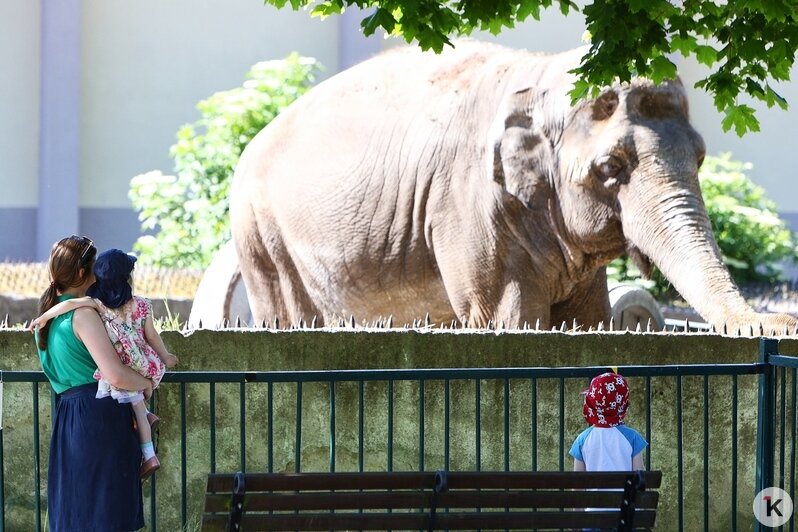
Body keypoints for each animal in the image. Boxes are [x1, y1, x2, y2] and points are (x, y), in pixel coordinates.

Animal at [228, 40, 796, 332]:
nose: (784, 323)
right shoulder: (465, 202)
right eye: (611, 167)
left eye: (700, 158)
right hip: (261, 238)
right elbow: (509, 315)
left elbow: (588, 319)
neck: (543, 74)